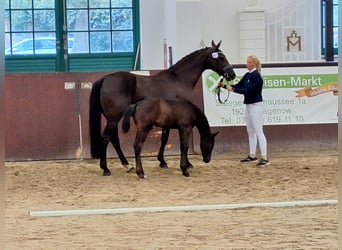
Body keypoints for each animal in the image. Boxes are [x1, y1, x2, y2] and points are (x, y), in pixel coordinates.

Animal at [88, 40, 235, 176]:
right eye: (221, 57)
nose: (232, 74)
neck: (179, 80)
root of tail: (104, 79)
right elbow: (170, 140)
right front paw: (180, 163)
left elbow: (164, 139)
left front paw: (163, 161)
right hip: (114, 118)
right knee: (105, 138)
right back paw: (106, 168)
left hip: (112, 118)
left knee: (114, 139)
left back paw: (127, 165)